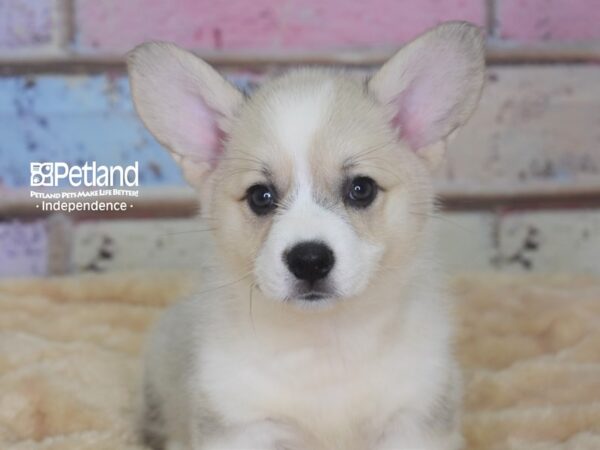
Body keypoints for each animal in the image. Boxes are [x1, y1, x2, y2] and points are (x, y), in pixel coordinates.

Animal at [129, 22, 486, 450]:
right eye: (260, 196)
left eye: (361, 189)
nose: (310, 260)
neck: (324, 344)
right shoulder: (244, 427)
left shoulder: (414, 421)